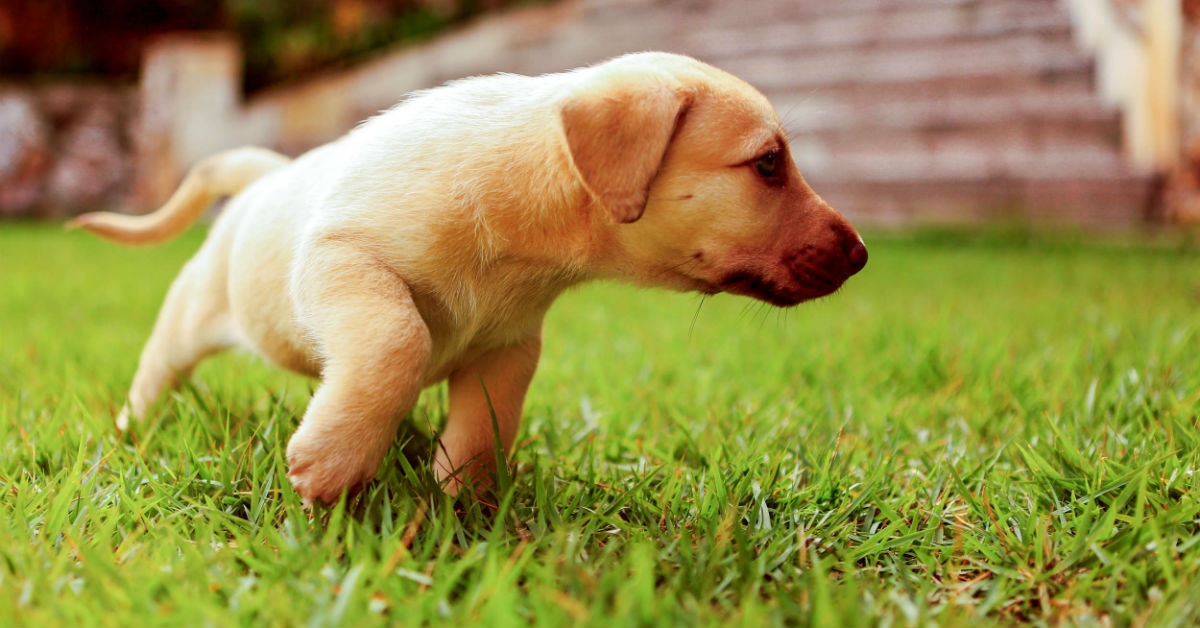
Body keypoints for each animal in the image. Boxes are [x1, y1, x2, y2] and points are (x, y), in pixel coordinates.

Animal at [70, 54, 868, 506]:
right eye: (769, 163)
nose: (861, 254)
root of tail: (263, 179)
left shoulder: (510, 347)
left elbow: (486, 426)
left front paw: (467, 503)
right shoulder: (343, 259)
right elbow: (397, 342)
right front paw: (333, 464)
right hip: (187, 320)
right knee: (154, 373)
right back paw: (132, 430)